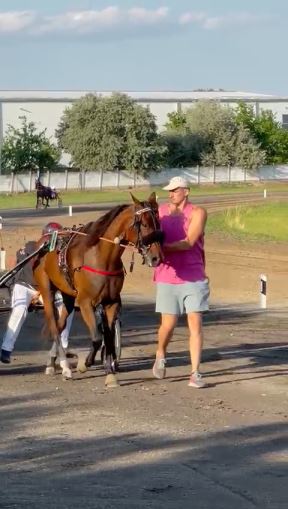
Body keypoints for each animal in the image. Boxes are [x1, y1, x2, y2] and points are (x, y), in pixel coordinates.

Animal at [33, 190, 163, 384]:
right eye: (144, 224)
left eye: (158, 222)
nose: (157, 257)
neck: (102, 257)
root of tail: (45, 241)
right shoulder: (86, 302)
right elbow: (96, 337)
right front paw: (85, 363)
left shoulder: (111, 302)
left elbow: (108, 337)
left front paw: (110, 372)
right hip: (46, 290)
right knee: (55, 328)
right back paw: (65, 367)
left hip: (68, 295)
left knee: (61, 324)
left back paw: (51, 361)